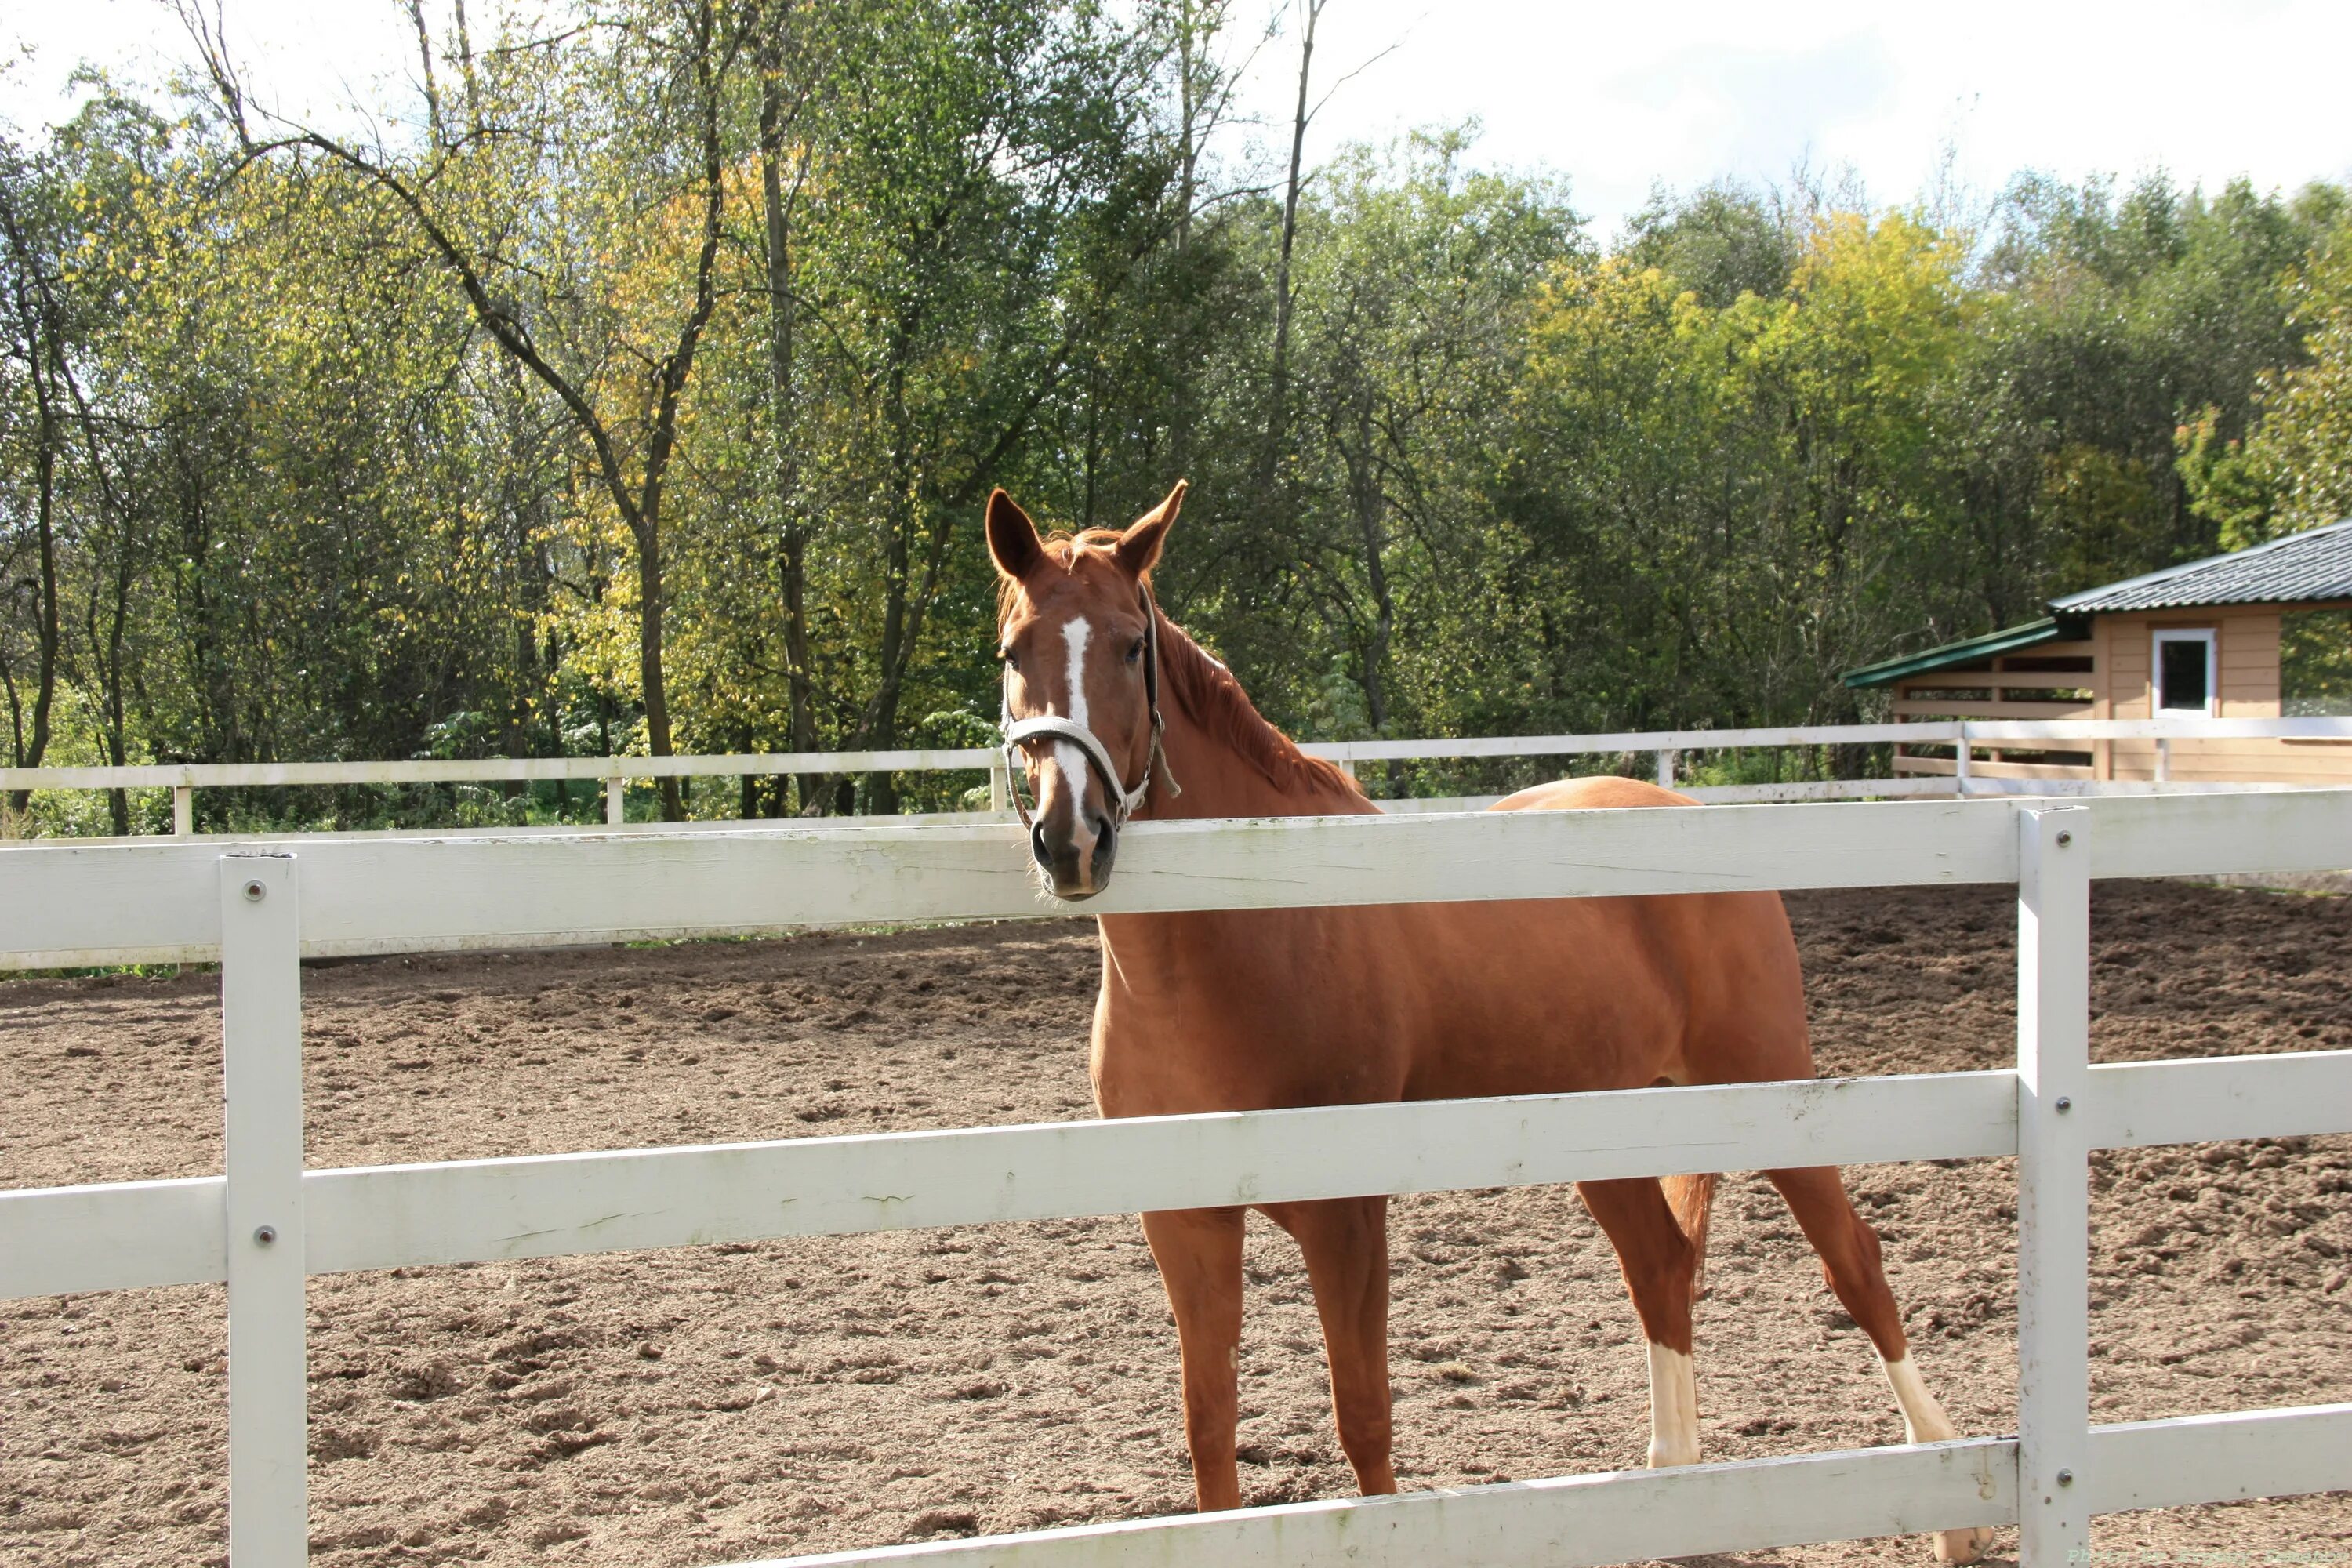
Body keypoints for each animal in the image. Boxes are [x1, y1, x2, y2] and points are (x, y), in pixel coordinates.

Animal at [983, 484, 1994, 1561]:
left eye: (1132, 644)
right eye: (1014, 649)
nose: (1071, 838)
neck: (1253, 929)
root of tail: (1681, 807)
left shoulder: (1346, 1214)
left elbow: (1364, 1418)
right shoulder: (1184, 1219)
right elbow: (1209, 1425)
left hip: (1767, 1091)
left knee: (1857, 1266)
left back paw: (1950, 1513)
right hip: (1609, 1124)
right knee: (1660, 1266)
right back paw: (1671, 1496)